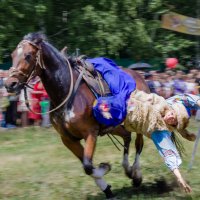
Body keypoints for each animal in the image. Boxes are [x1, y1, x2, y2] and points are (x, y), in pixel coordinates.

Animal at [4, 32, 149, 198]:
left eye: (28, 55)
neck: (66, 91)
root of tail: (140, 76)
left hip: (138, 122)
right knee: (126, 136)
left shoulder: (90, 133)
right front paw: (107, 187)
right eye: (13, 55)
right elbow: (87, 166)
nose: (9, 84)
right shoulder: (68, 139)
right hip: (113, 126)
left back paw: (136, 174)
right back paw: (128, 170)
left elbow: (87, 165)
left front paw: (105, 168)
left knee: (138, 143)